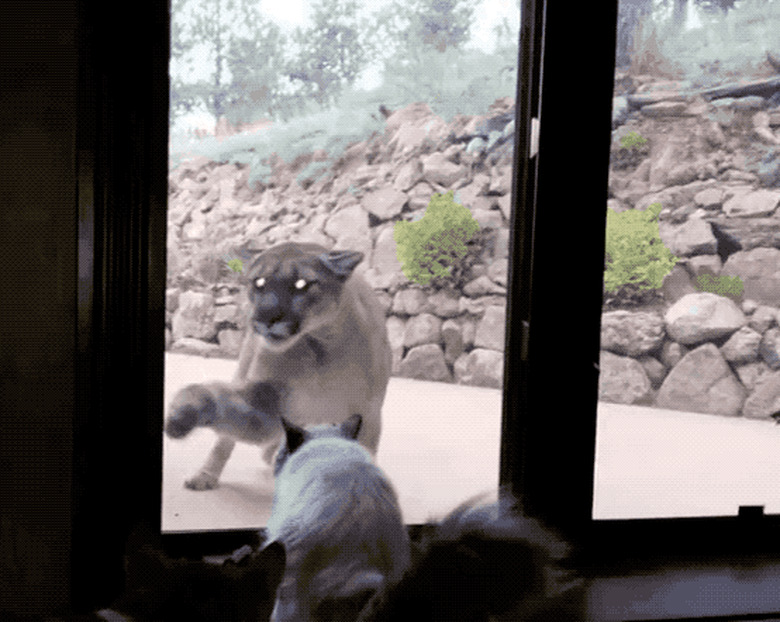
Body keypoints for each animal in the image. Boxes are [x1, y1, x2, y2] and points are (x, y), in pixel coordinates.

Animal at [167, 244, 394, 492]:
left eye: (301, 284)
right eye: (259, 282)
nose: (265, 317)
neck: (318, 348)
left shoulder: (367, 415)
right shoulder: (268, 401)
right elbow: (223, 404)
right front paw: (185, 409)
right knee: (225, 441)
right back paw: (206, 475)